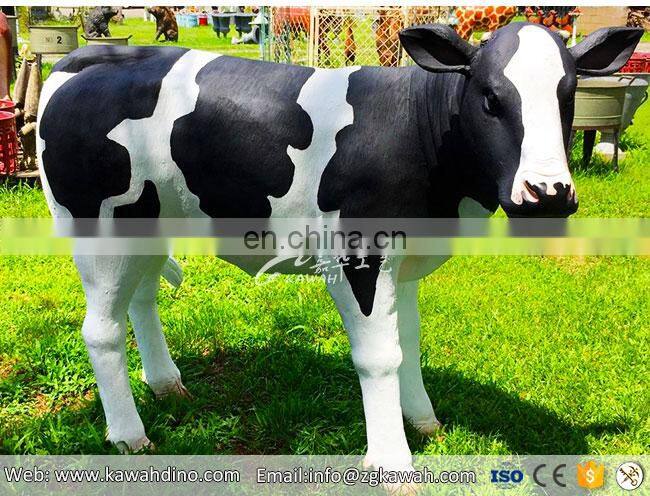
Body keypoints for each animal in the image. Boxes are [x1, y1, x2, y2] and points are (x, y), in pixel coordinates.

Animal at [36, 22, 641, 483]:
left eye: (568, 96)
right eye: (491, 98)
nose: (548, 195)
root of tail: (88, 56)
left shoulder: (407, 260)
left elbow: (408, 342)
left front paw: (423, 420)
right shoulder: (358, 258)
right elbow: (378, 355)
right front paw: (393, 461)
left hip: (148, 220)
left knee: (140, 299)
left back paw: (166, 385)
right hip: (97, 226)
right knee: (100, 330)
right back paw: (129, 435)